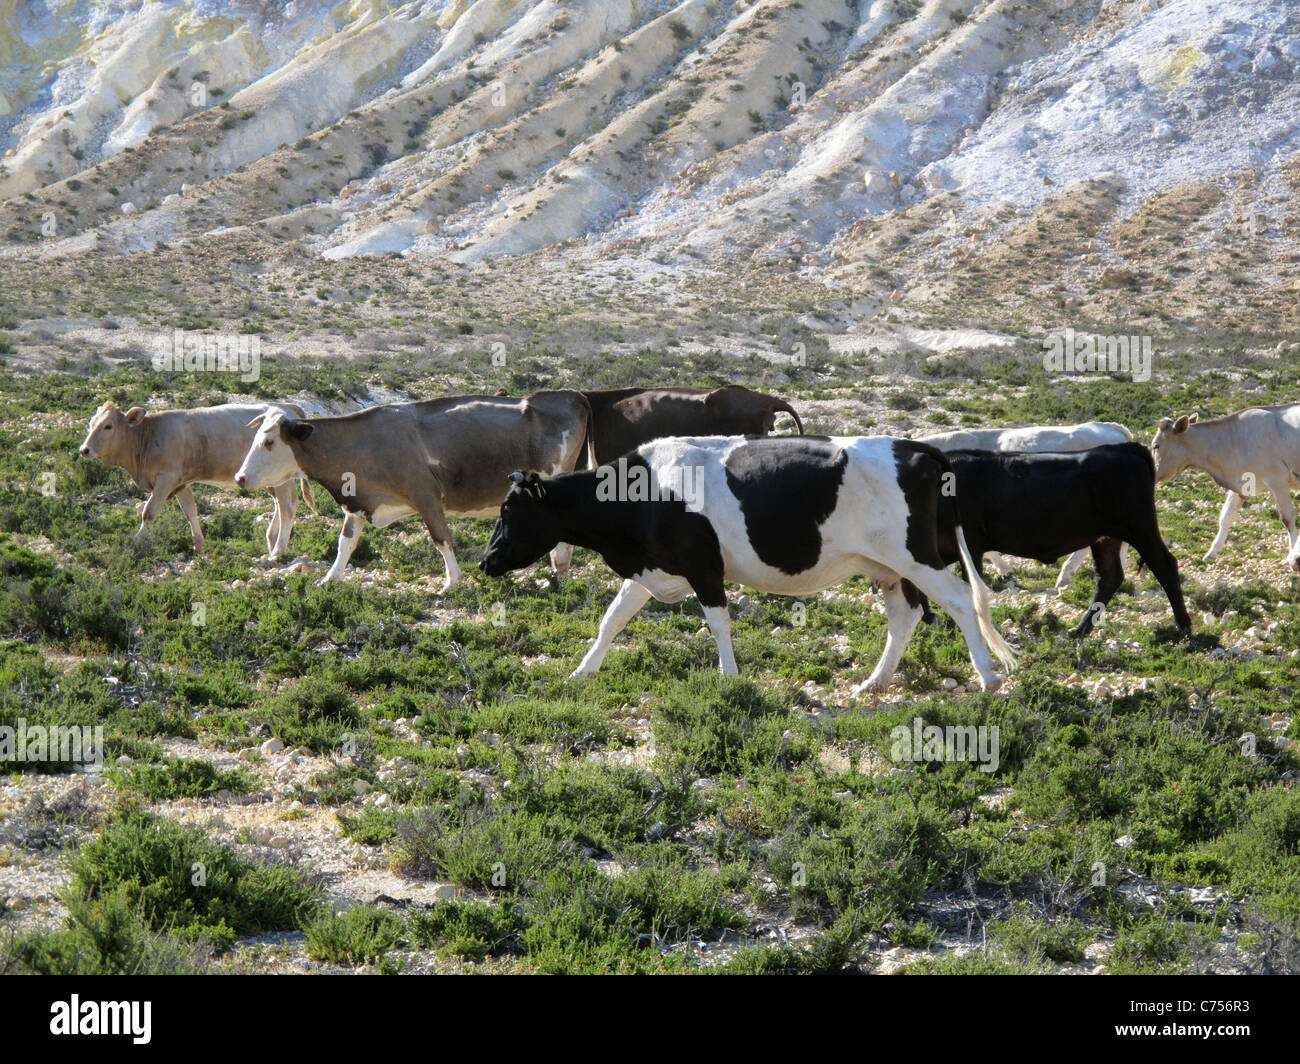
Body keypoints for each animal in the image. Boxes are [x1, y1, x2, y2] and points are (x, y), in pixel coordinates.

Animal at [79, 398, 317, 559]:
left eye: (108, 426)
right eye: (91, 423)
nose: (84, 449)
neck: (147, 436)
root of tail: (288, 406)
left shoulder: (166, 478)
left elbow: (149, 512)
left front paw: (137, 542)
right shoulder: (181, 482)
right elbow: (190, 512)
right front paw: (199, 547)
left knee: (287, 506)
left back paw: (278, 550)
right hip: (269, 477)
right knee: (281, 503)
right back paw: (271, 540)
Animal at [236, 390, 592, 587]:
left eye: (269, 442)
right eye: (255, 438)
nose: (240, 477)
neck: (364, 443)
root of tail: (571, 395)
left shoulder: (427, 496)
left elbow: (441, 539)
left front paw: (452, 582)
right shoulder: (360, 503)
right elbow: (345, 545)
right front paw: (328, 580)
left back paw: (560, 579)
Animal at [483, 431, 1019, 686]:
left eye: (509, 510)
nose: (486, 561)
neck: (643, 492)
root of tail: (918, 448)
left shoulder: (703, 566)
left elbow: (718, 623)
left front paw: (728, 676)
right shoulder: (652, 568)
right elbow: (611, 620)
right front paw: (581, 672)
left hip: (916, 557)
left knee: (959, 600)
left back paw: (989, 677)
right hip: (889, 568)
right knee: (905, 616)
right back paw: (873, 683)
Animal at [904, 442, 1190, 634]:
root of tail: (1123, 448)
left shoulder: (970, 546)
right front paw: (930, 618)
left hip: (1140, 528)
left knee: (1164, 565)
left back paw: (1184, 627)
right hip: (1106, 537)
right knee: (1109, 577)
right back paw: (1079, 631)